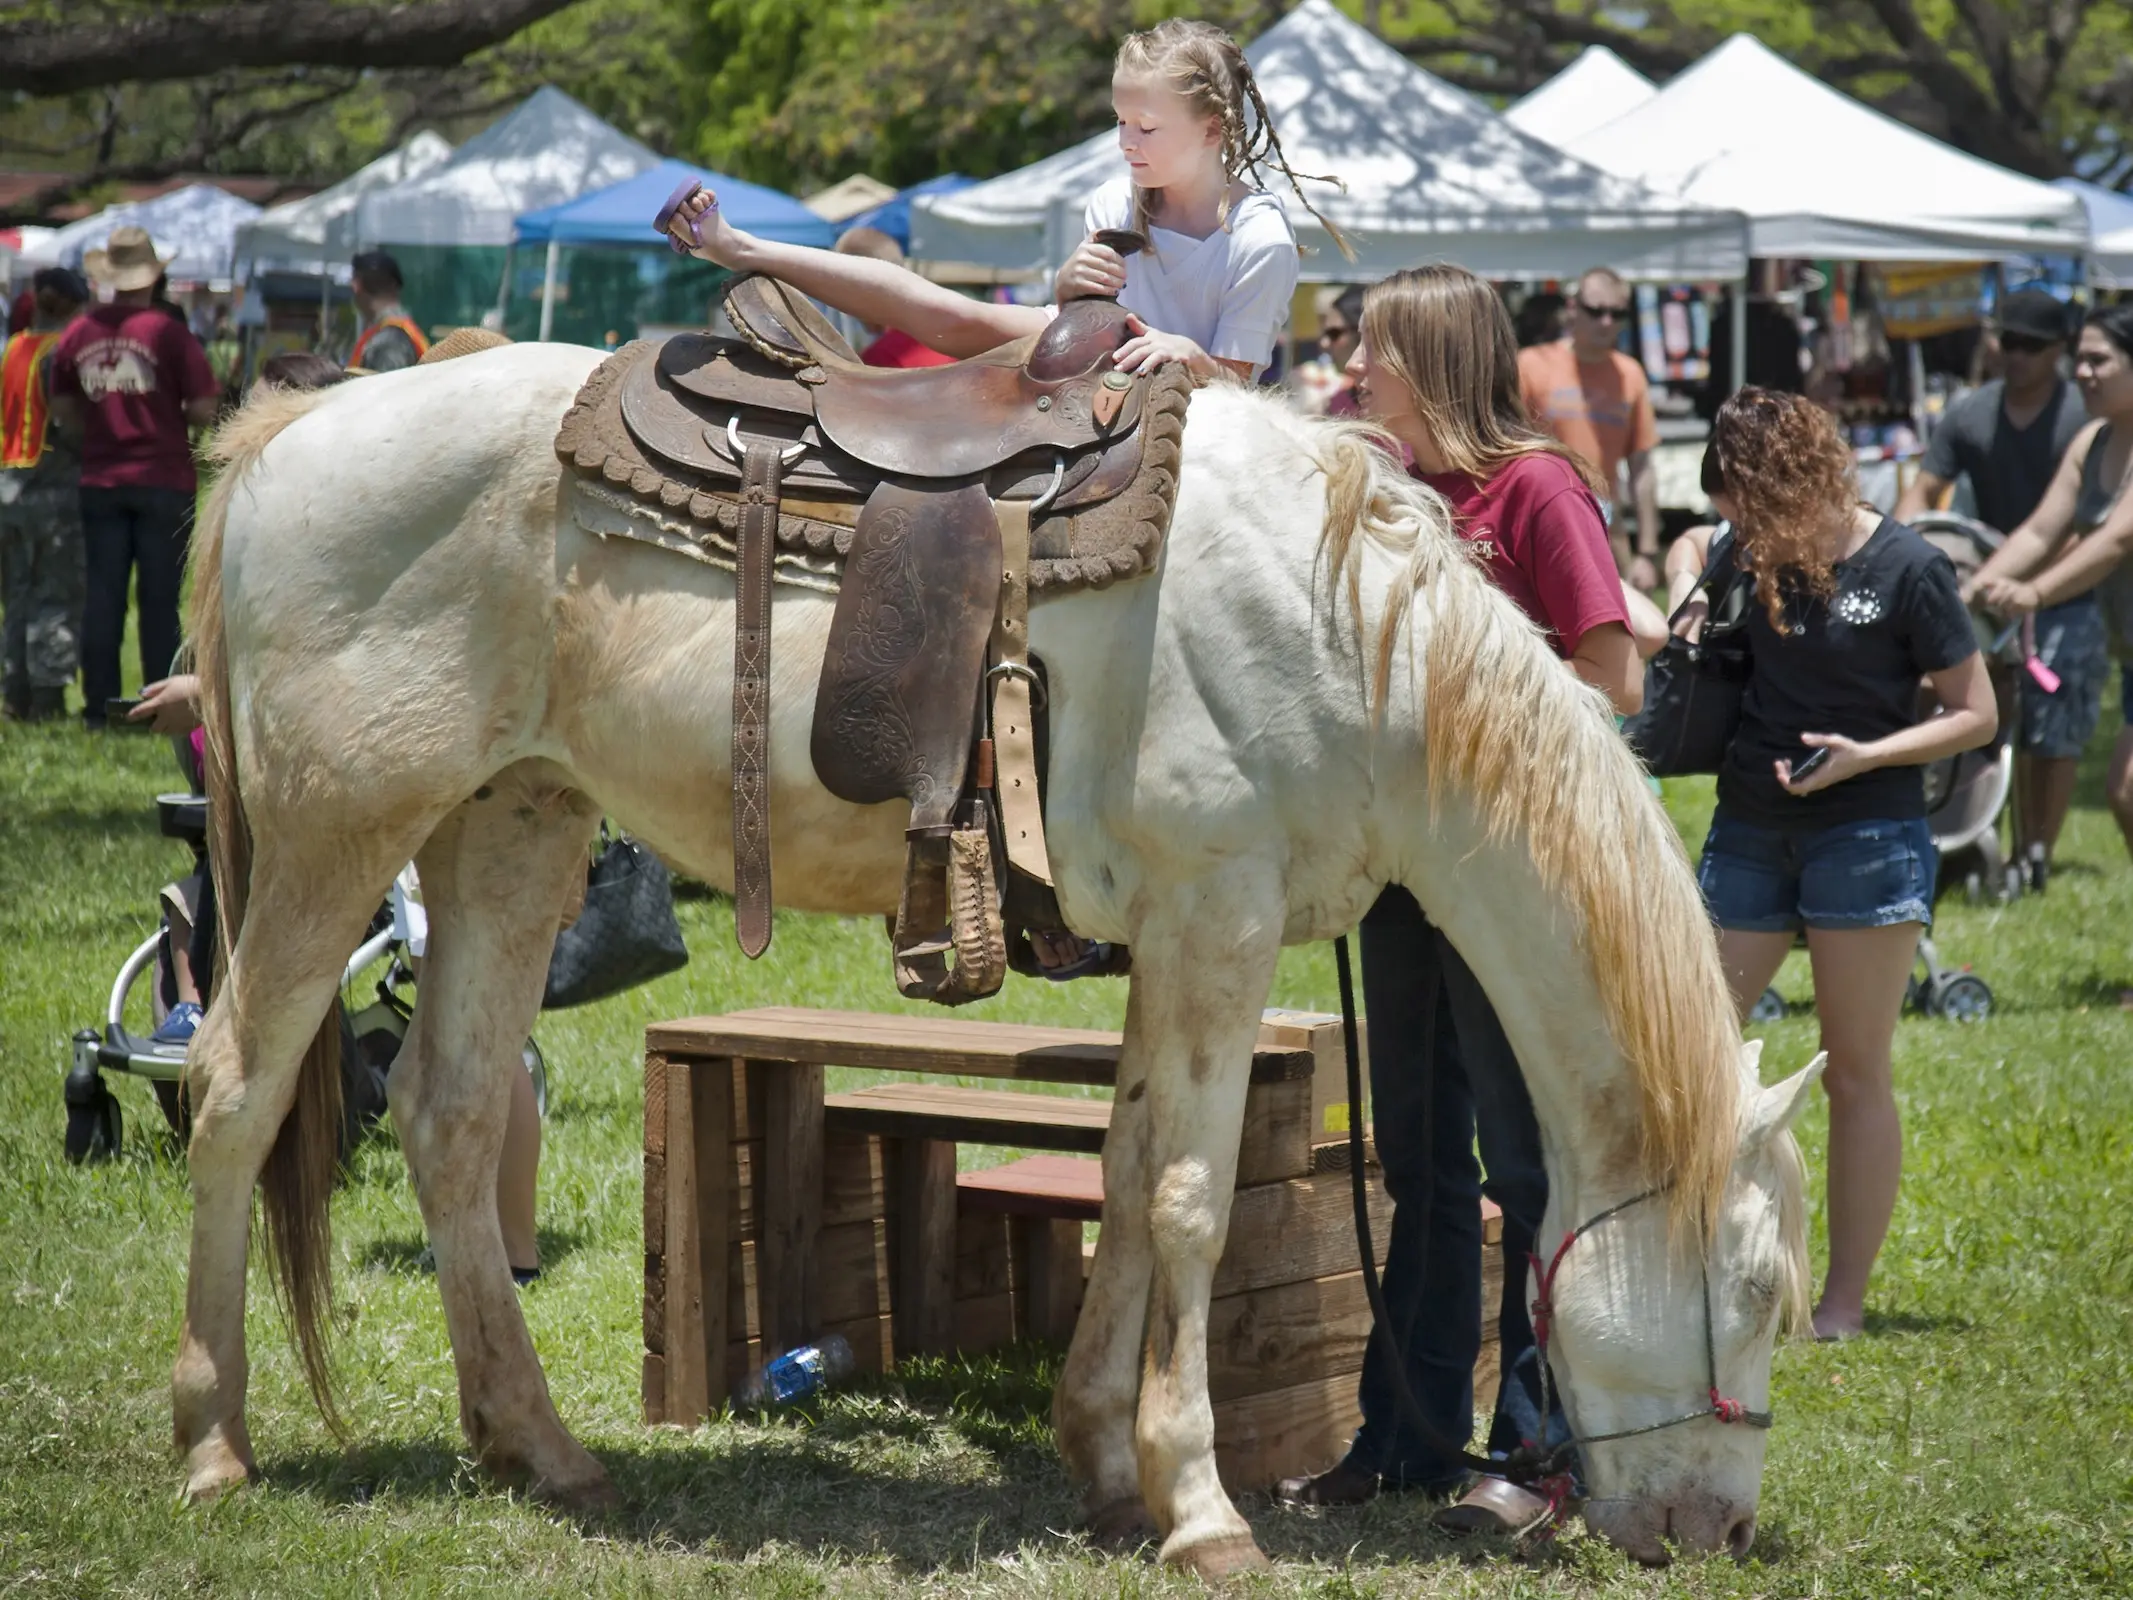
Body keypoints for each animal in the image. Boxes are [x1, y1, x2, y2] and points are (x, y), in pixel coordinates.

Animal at [174, 345, 1825, 1587]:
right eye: (1753, 1288)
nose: (1722, 1533)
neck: (1351, 637)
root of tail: (291, 429)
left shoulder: (1179, 930)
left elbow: (1131, 1170)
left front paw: (1103, 1457)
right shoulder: (1221, 917)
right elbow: (1191, 1202)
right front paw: (1203, 1511)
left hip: (512, 825)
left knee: (450, 1116)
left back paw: (540, 1448)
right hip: (336, 837)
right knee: (233, 1090)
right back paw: (211, 1443)